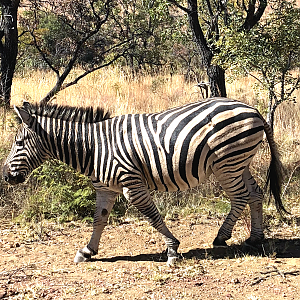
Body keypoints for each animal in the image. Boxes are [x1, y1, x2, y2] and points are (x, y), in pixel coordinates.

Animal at [2, 98, 288, 264]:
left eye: (19, 143)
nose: (5, 176)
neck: (93, 148)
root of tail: (254, 110)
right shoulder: (104, 189)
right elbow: (99, 220)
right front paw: (87, 251)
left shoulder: (132, 184)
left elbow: (153, 217)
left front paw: (172, 249)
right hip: (239, 163)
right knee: (255, 193)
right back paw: (255, 237)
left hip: (227, 163)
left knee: (240, 197)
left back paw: (222, 236)